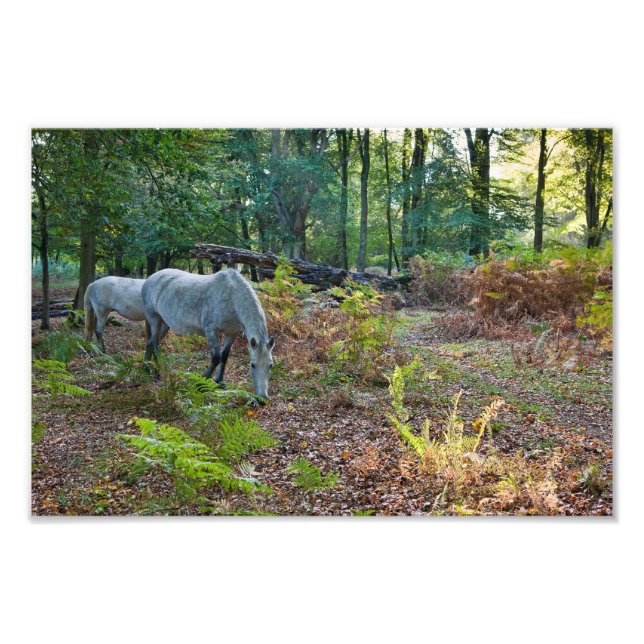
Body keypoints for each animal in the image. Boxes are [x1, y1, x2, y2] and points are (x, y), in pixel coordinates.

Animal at [141, 268, 275, 401]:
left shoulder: (232, 333)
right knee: (154, 344)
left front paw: (220, 381)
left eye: (270, 365)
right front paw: (201, 383)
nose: (262, 398)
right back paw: (158, 372)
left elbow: (224, 356)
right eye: (252, 365)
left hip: (164, 323)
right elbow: (216, 358)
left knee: (151, 342)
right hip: (154, 319)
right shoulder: (211, 331)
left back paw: (147, 367)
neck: (231, 295)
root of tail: (149, 279)